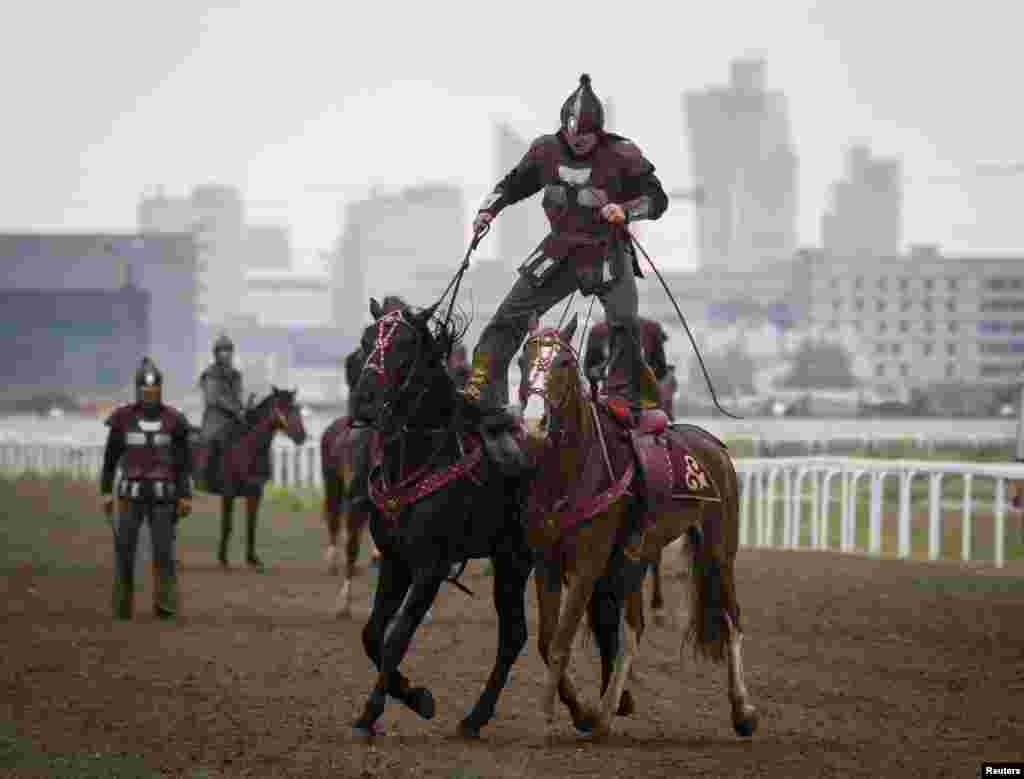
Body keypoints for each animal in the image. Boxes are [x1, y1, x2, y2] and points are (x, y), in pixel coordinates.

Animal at [190, 386, 305, 569]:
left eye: (296, 408)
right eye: (282, 408)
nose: (302, 436)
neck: (247, 446)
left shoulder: (255, 493)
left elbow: (251, 525)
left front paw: (252, 559)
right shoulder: (228, 493)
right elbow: (227, 525)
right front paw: (223, 559)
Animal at [352, 294, 638, 737]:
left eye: (404, 344)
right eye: (368, 340)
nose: (363, 399)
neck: (427, 455)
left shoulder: (431, 566)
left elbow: (397, 636)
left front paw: (376, 710)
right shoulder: (396, 560)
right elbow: (372, 635)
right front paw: (415, 696)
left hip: (540, 559)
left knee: (540, 631)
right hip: (512, 561)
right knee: (519, 634)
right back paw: (486, 715)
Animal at [524, 315, 757, 741]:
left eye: (562, 363)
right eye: (523, 358)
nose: (534, 424)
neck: (575, 470)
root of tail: (713, 445)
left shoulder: (587, 566)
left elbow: (563, 639)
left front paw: (547, 716)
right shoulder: (546, 561)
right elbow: (549, 640)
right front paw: (583, 711)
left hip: (719, 546)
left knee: (731, 617)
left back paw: (743, 711)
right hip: (638, 554)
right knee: (633, 629)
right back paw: (605, 713)